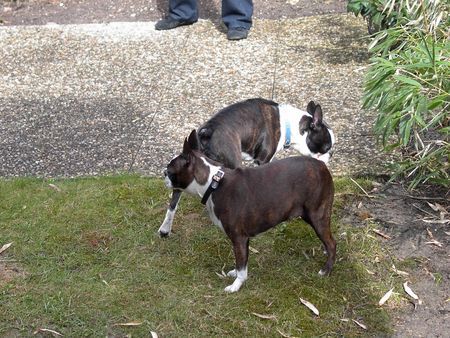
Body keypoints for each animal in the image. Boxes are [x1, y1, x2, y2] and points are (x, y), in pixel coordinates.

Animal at [158, 96, 334, 236]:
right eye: (327, 146)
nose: (330, 154)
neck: (290, 125)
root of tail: (207, 132)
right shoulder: (263, 160)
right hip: (232, 161)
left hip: (183, 170)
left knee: (174, 200)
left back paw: (165, 229)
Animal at [161, 131, 334, 292]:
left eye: (169, 171)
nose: (163, 174)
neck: (214, 183)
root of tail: (321, 164)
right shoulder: (244, 240)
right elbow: (242, 264)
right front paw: (234, 274)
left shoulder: (239, 238)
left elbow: (241, 267)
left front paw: (235, 286)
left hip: (317, 215)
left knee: (332, 243)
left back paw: (326, 270)